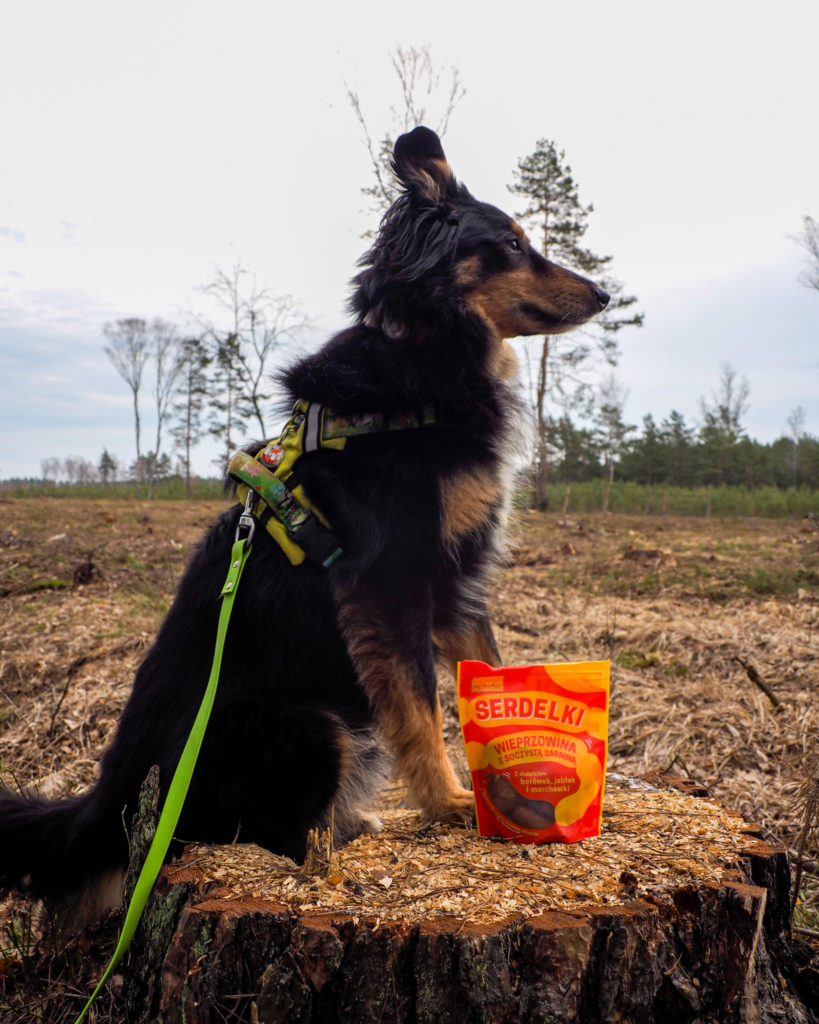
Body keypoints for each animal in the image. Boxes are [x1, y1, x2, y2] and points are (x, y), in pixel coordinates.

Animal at [0, 125, 606, 905]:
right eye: (510, 242)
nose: (605, 293)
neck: (422, 361)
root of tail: (107, 801)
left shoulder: (457, 581)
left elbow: (486, 676)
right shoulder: (391, 583)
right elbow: (419, 706)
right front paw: (448, 801)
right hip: (308, 721)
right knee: (259, 834)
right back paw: (337, 846)